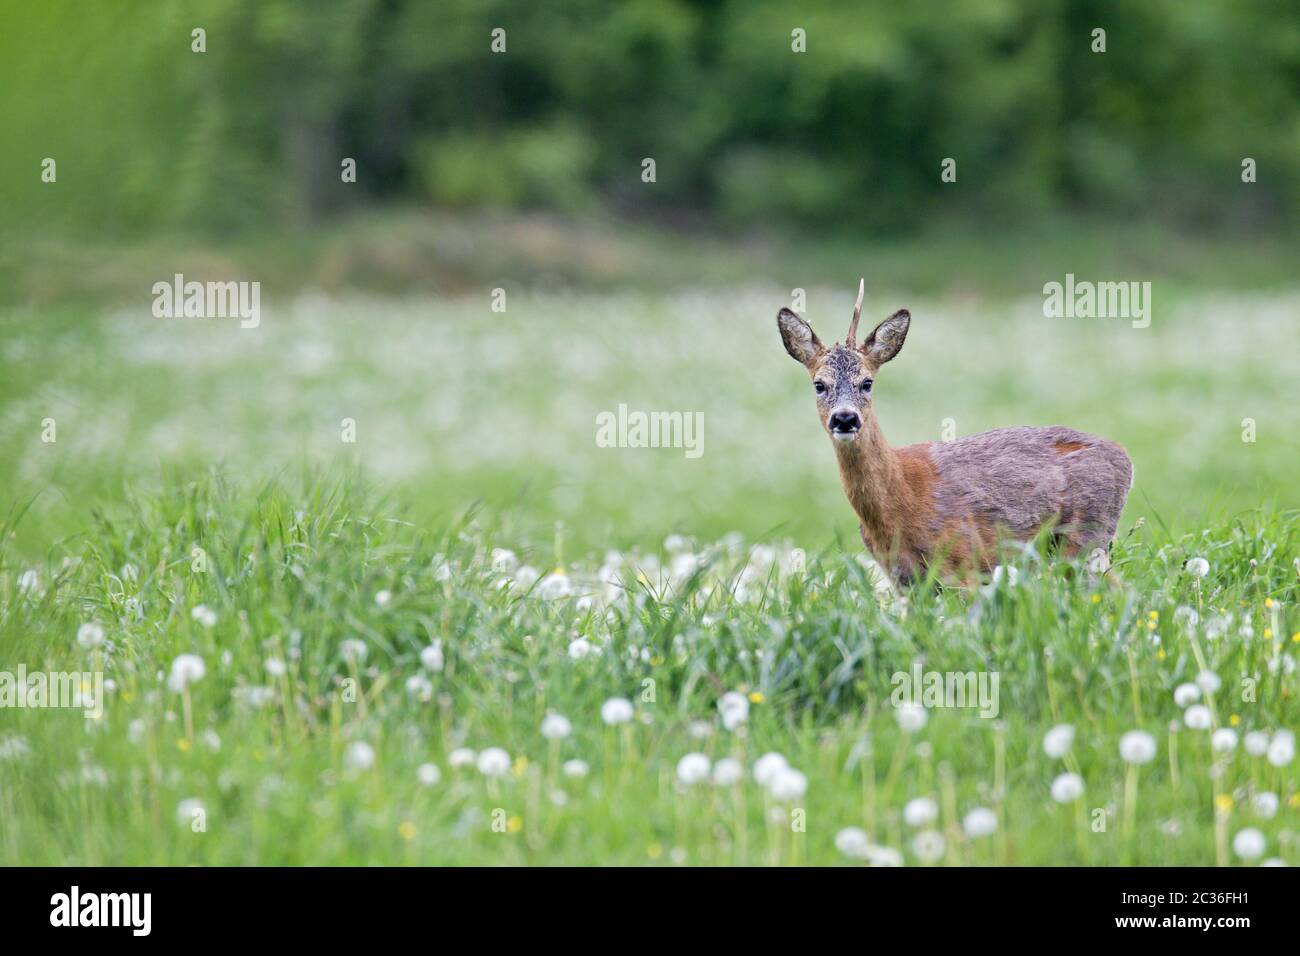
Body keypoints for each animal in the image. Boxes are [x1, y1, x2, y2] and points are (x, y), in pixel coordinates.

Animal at [774, 280, 1133, 587]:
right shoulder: (905, 582)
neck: (901, 500)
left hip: (1086, 537)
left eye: (867, 382)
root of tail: (1124, 456)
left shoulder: (965, 563)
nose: (845, 419)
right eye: (819, 384)